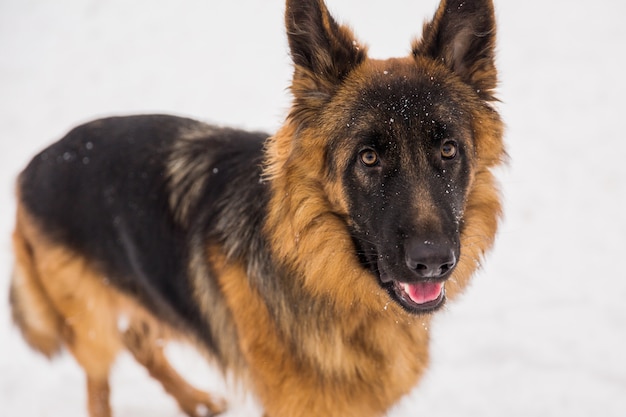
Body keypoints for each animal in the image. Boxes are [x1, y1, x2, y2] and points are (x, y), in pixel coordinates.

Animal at [9, 0, 502, 416]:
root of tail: (31, 167)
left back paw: (195, 400)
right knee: (100, 380)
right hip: (94, 327)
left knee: (138, 339)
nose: (433, 262)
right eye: (368, 158)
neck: (311, 267)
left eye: (448, 150)